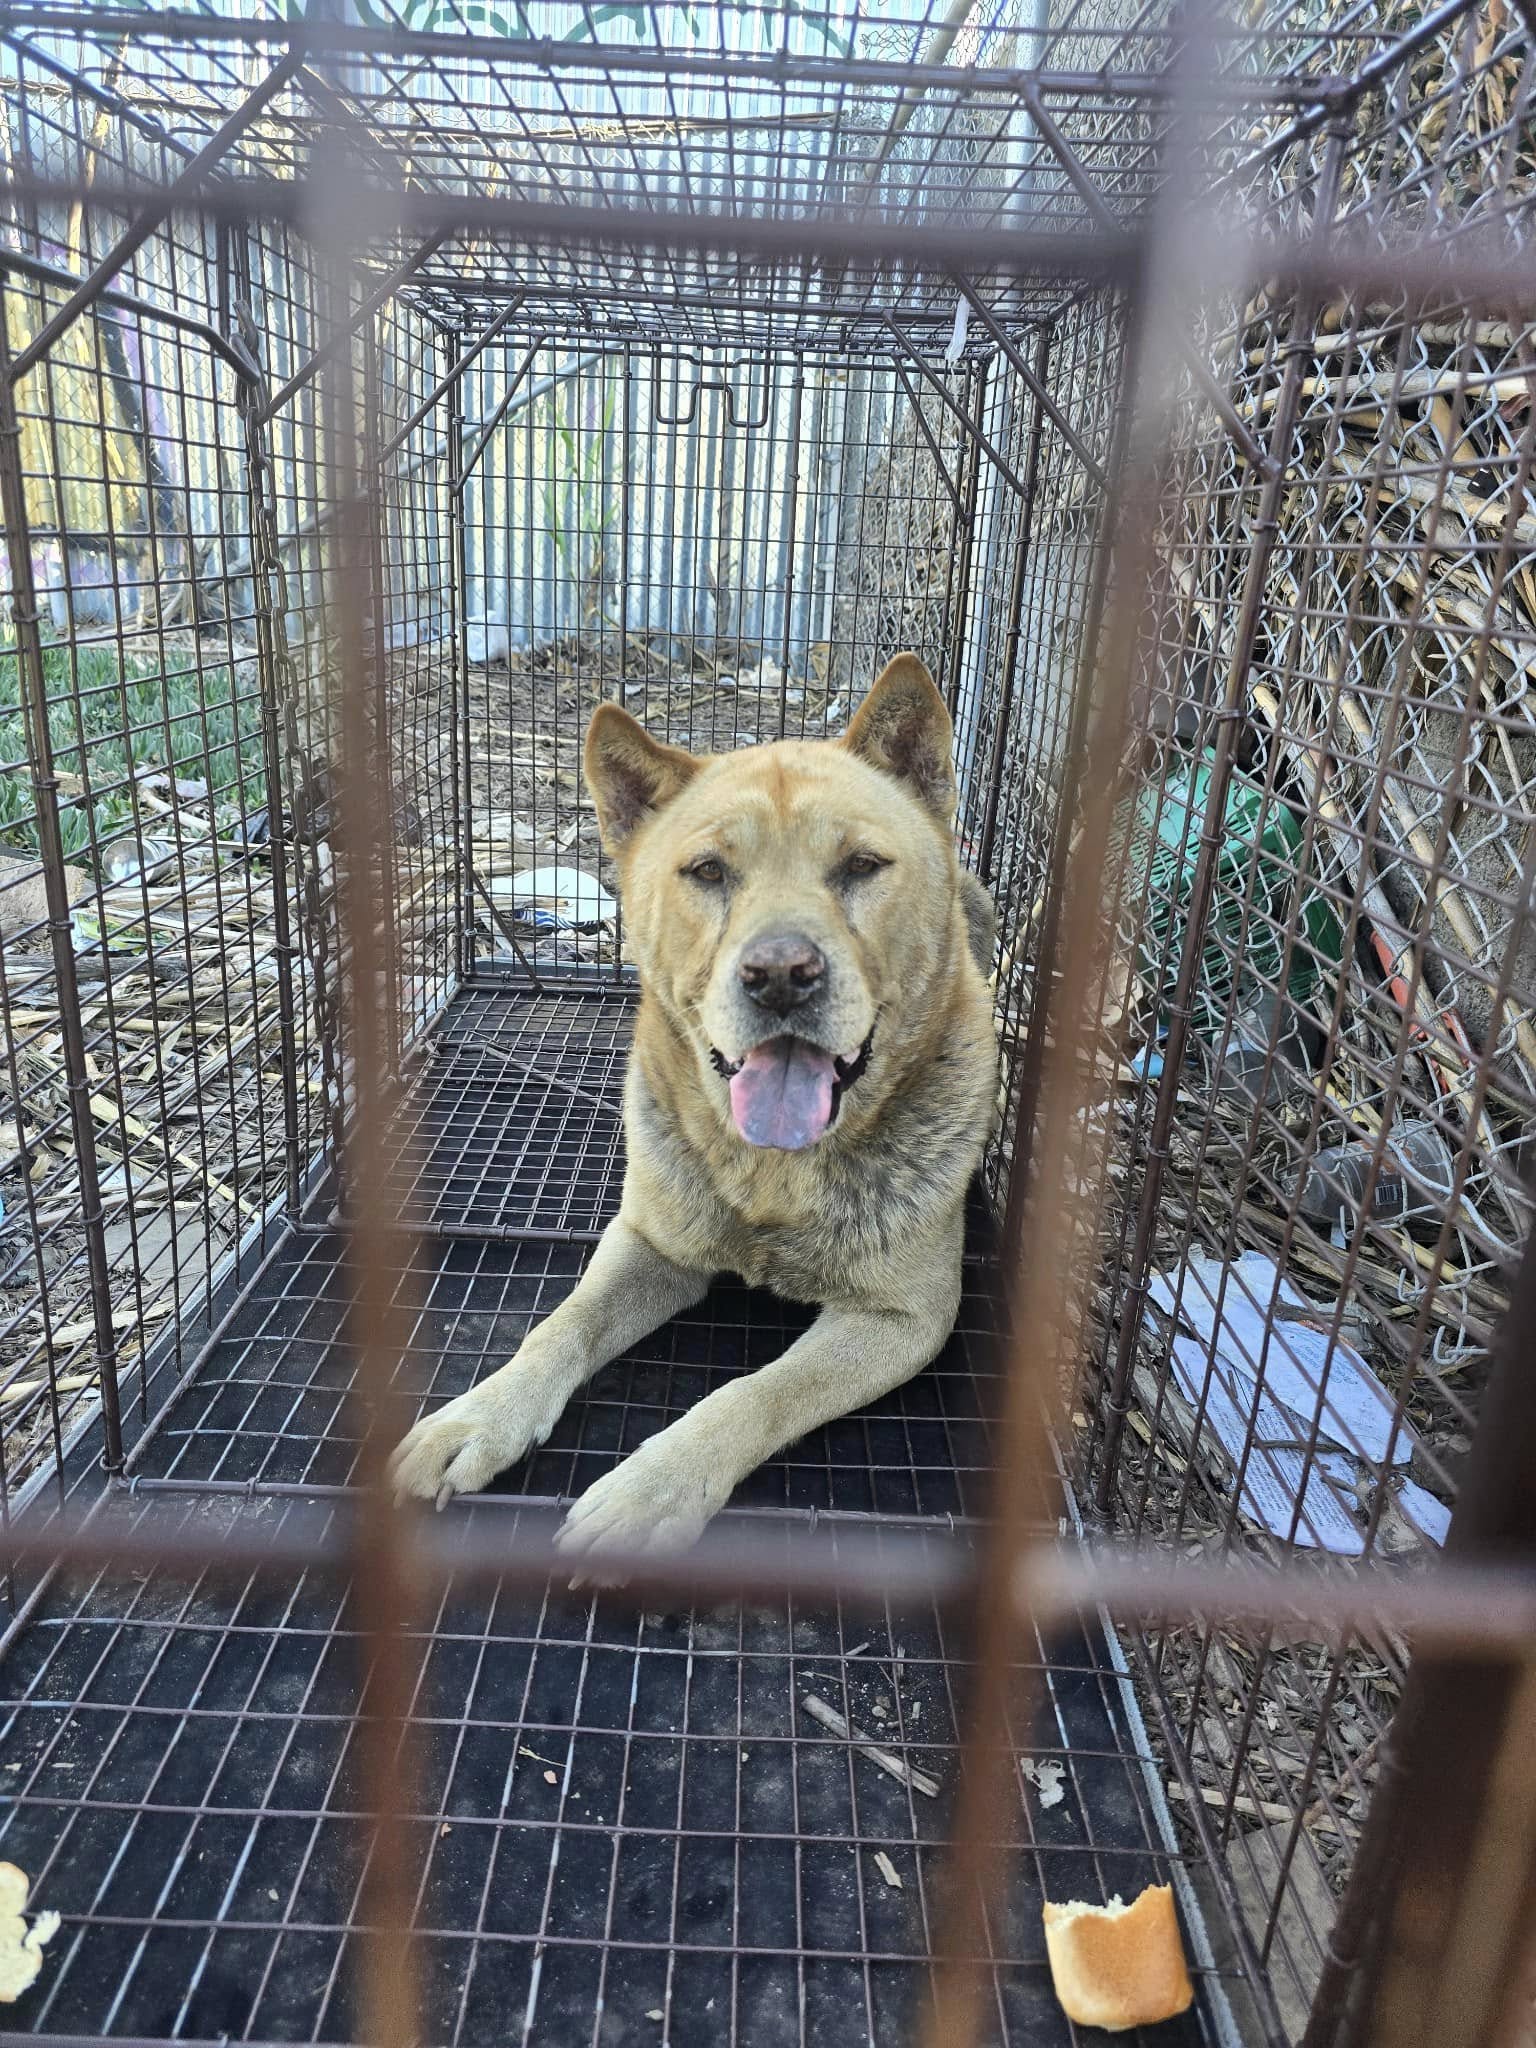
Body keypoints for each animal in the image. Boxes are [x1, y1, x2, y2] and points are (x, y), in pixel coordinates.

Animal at [391, 655, 1003, 1564]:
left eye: (861, 865)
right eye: (709, 872)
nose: (781, 975)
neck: (771, 1175)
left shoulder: (907, 1317)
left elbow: (758, 1392)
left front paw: (654, 1487)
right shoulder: (649, 1240)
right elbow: (561, 1326)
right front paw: (481, 1414)